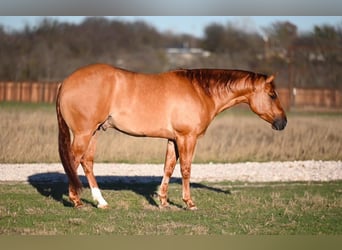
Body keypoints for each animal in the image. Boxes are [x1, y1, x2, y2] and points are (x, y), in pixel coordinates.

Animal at [56, 63, 286, 210]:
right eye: (272, 94)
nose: (283, 122)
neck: (200, 91)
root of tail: (65, 83)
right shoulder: (187, 138)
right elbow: (185, 169)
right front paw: (189, 203)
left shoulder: (173, 140)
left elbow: (168, 167)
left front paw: (163, 201)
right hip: (84, 133)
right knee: (73, 161)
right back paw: (76, 200)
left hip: (93, 132)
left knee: (86, 162)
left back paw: (101, 202)